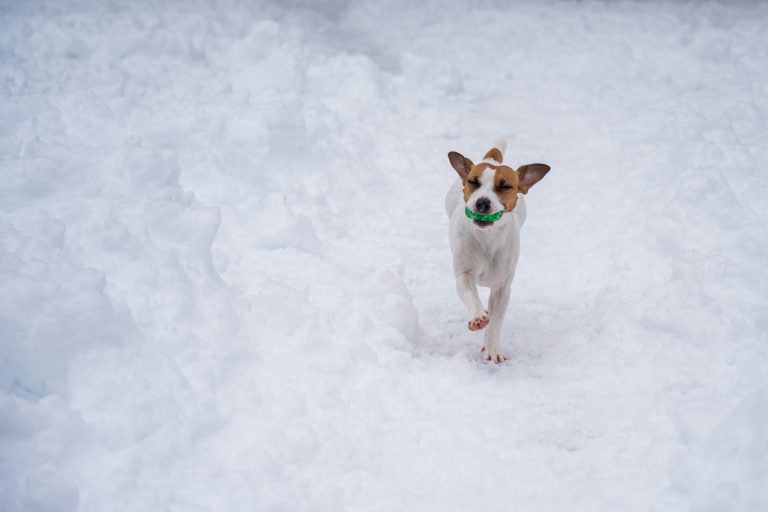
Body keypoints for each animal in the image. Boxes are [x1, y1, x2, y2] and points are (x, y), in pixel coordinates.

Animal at [444, 140, 552, 362]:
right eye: (472, 182)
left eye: (504, 186)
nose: (482, 202)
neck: (486, 238)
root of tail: (491, 158)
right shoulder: (464, 274)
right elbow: (470, 294)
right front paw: (477, 316)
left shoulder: (502, 288)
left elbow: (496, 320)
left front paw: (492, 348)